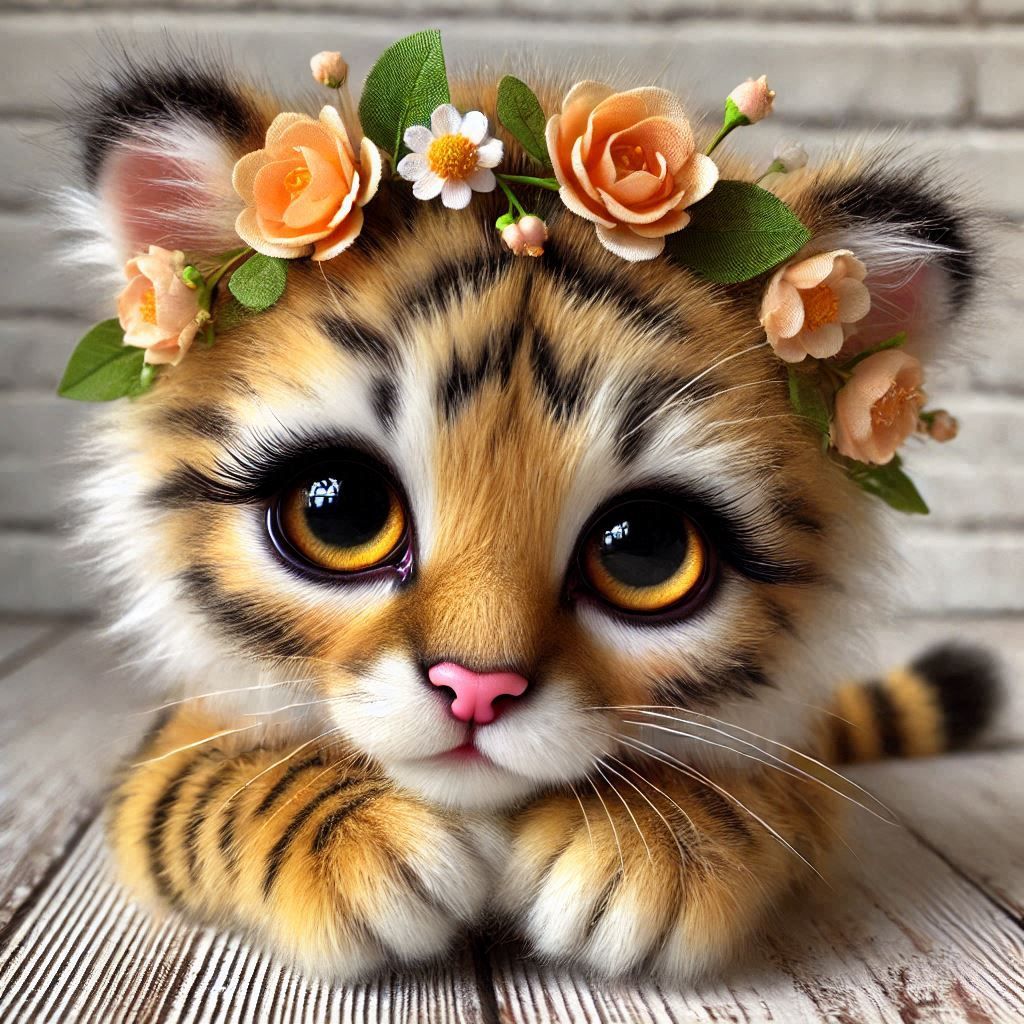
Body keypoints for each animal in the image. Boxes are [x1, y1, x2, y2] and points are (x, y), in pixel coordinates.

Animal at [64, 53, 999, 983]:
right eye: (341, 512)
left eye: (644, 549)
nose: (476, 690)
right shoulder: (167, 749)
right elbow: (214, 784)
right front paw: (360, 845)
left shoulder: (795, 771)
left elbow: (755, 790)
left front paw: (649, 847)